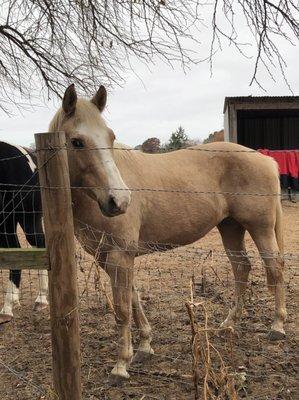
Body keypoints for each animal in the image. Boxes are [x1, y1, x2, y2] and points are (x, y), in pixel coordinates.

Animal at [49, 84, 288, 382]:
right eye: (77, 141)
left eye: (110, 136)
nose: (120, 200)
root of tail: (265, 159)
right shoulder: (109, 258)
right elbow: (133, 298)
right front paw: (144, 346)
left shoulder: (119, 255)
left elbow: (122, 309)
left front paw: (121, 365)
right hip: (231, 228)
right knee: (241, 268)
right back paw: (228, 324)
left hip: (260, 228)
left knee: (274, 267)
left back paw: (277, 326)